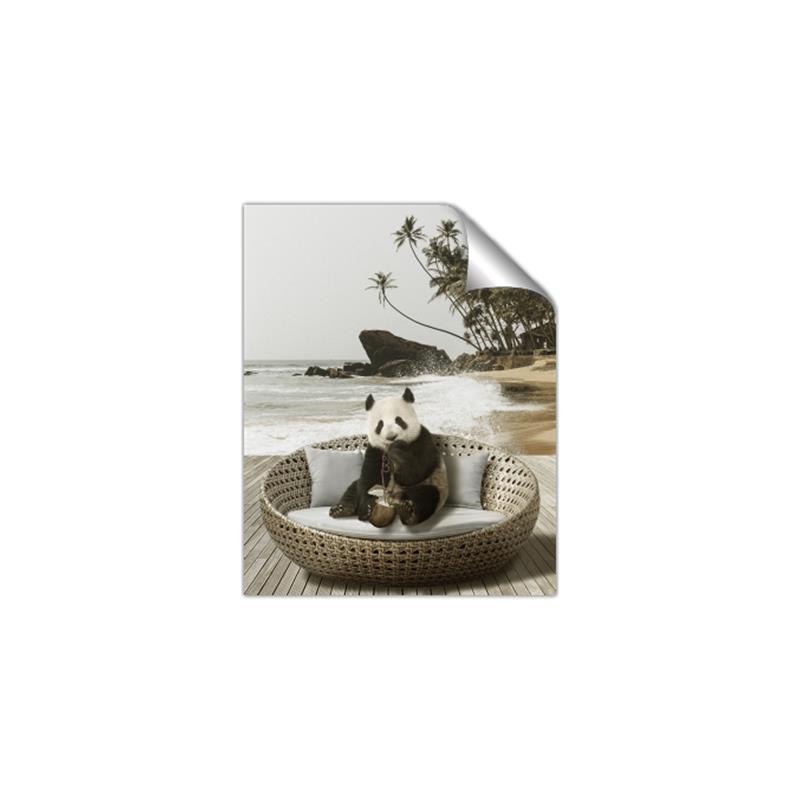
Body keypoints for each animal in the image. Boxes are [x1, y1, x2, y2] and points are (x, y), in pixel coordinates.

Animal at [329, 387, 449, 526]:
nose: (391, 437)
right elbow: (371, 477)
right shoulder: (375, 450)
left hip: (433, 486)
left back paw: (408, 512)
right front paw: (367, 508)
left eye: (399, 420)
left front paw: (398, 451)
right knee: (355, 487)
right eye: (380, 424)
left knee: (426, 496)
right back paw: (341, 509)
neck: (388, 449)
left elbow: (416, 471)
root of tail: (394, 501)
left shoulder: (422, 439)